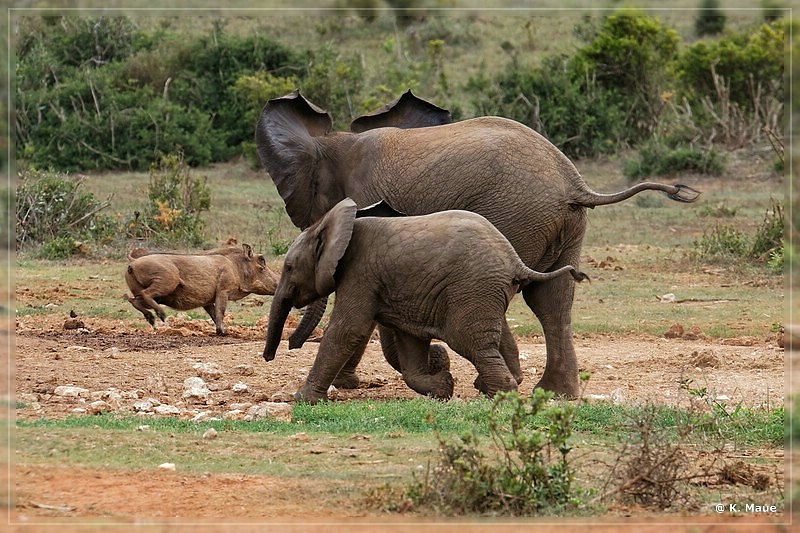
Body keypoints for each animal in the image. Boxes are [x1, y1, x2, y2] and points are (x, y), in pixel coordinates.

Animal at [126, 243, 280, 334]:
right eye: (262, 261)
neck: (235, 267)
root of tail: (133, 262)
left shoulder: (207, 301)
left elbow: (214, 314)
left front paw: (221, 331)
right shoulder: (223, 291)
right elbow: (220, 311)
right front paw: (222, 332)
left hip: (150, 293)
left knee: (133, 300)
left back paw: (152, 319)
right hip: (167, 283)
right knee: (145, 295)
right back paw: (161, 315)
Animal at [264, 198, 588, 404]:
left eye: (289, 267)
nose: (271, 356)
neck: (338, 224)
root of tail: (514, 259)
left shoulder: (360, 274)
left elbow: (347, 330)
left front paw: (302, 400)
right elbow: (409, 342)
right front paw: (443, 385)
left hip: (472, 287)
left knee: (469, 340)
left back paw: (502, 394)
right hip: (484, 291)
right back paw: (491, 387)